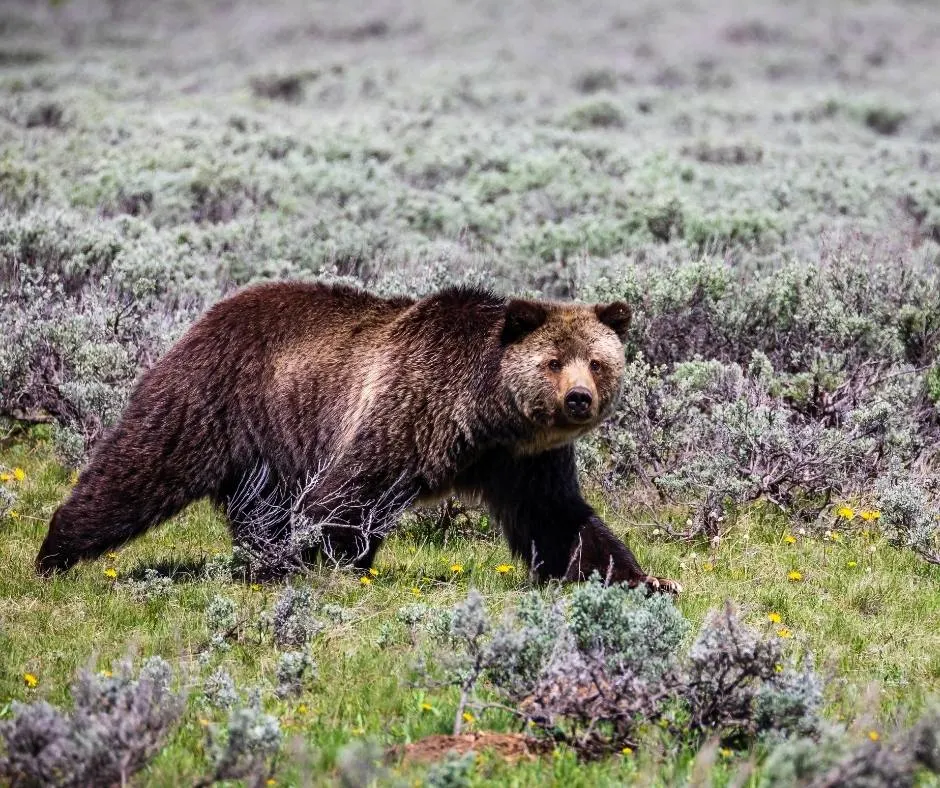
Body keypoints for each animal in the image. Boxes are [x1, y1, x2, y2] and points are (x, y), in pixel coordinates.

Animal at [36, 280, 680, 596]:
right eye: (552, 362)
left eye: (596, 361)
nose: (579, 398)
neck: (487, 414)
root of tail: (212, 310)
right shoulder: (410, 409)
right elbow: (348, 493)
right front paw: (325, 561)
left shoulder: (525, 459)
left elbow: (561, 519)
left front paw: (647, 579)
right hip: (217, 397)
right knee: (140, 467)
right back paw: (54, 552)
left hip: (271, 445)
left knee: (257, 506)